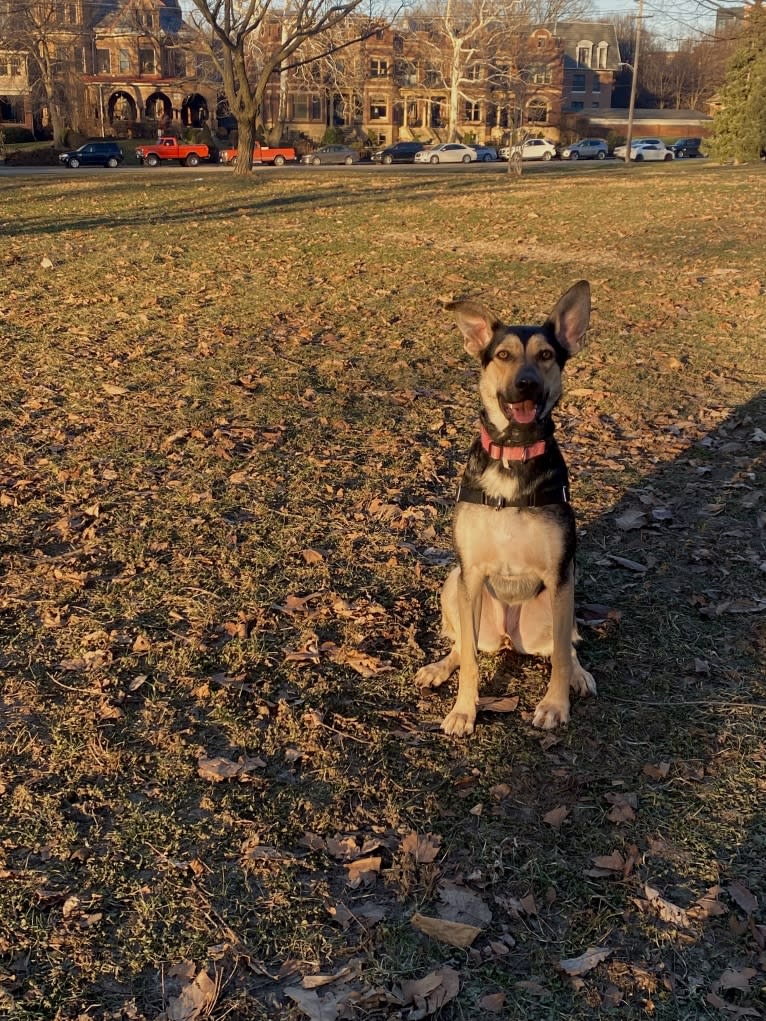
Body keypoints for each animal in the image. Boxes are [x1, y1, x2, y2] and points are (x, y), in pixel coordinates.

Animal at [416, 283, 596, 739]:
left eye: (546, 355)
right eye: (502, 355)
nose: (526, 384)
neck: (514, 452)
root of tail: (508, 638)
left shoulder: (560, 573)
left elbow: (562, 656)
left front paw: (555, 704)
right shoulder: (472, 573)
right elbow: (470, 663)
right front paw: (464, 710)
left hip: (563, 596)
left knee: (566, 645)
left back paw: (579, 675)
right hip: (456, 583)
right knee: (464, 644)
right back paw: (439, 666)